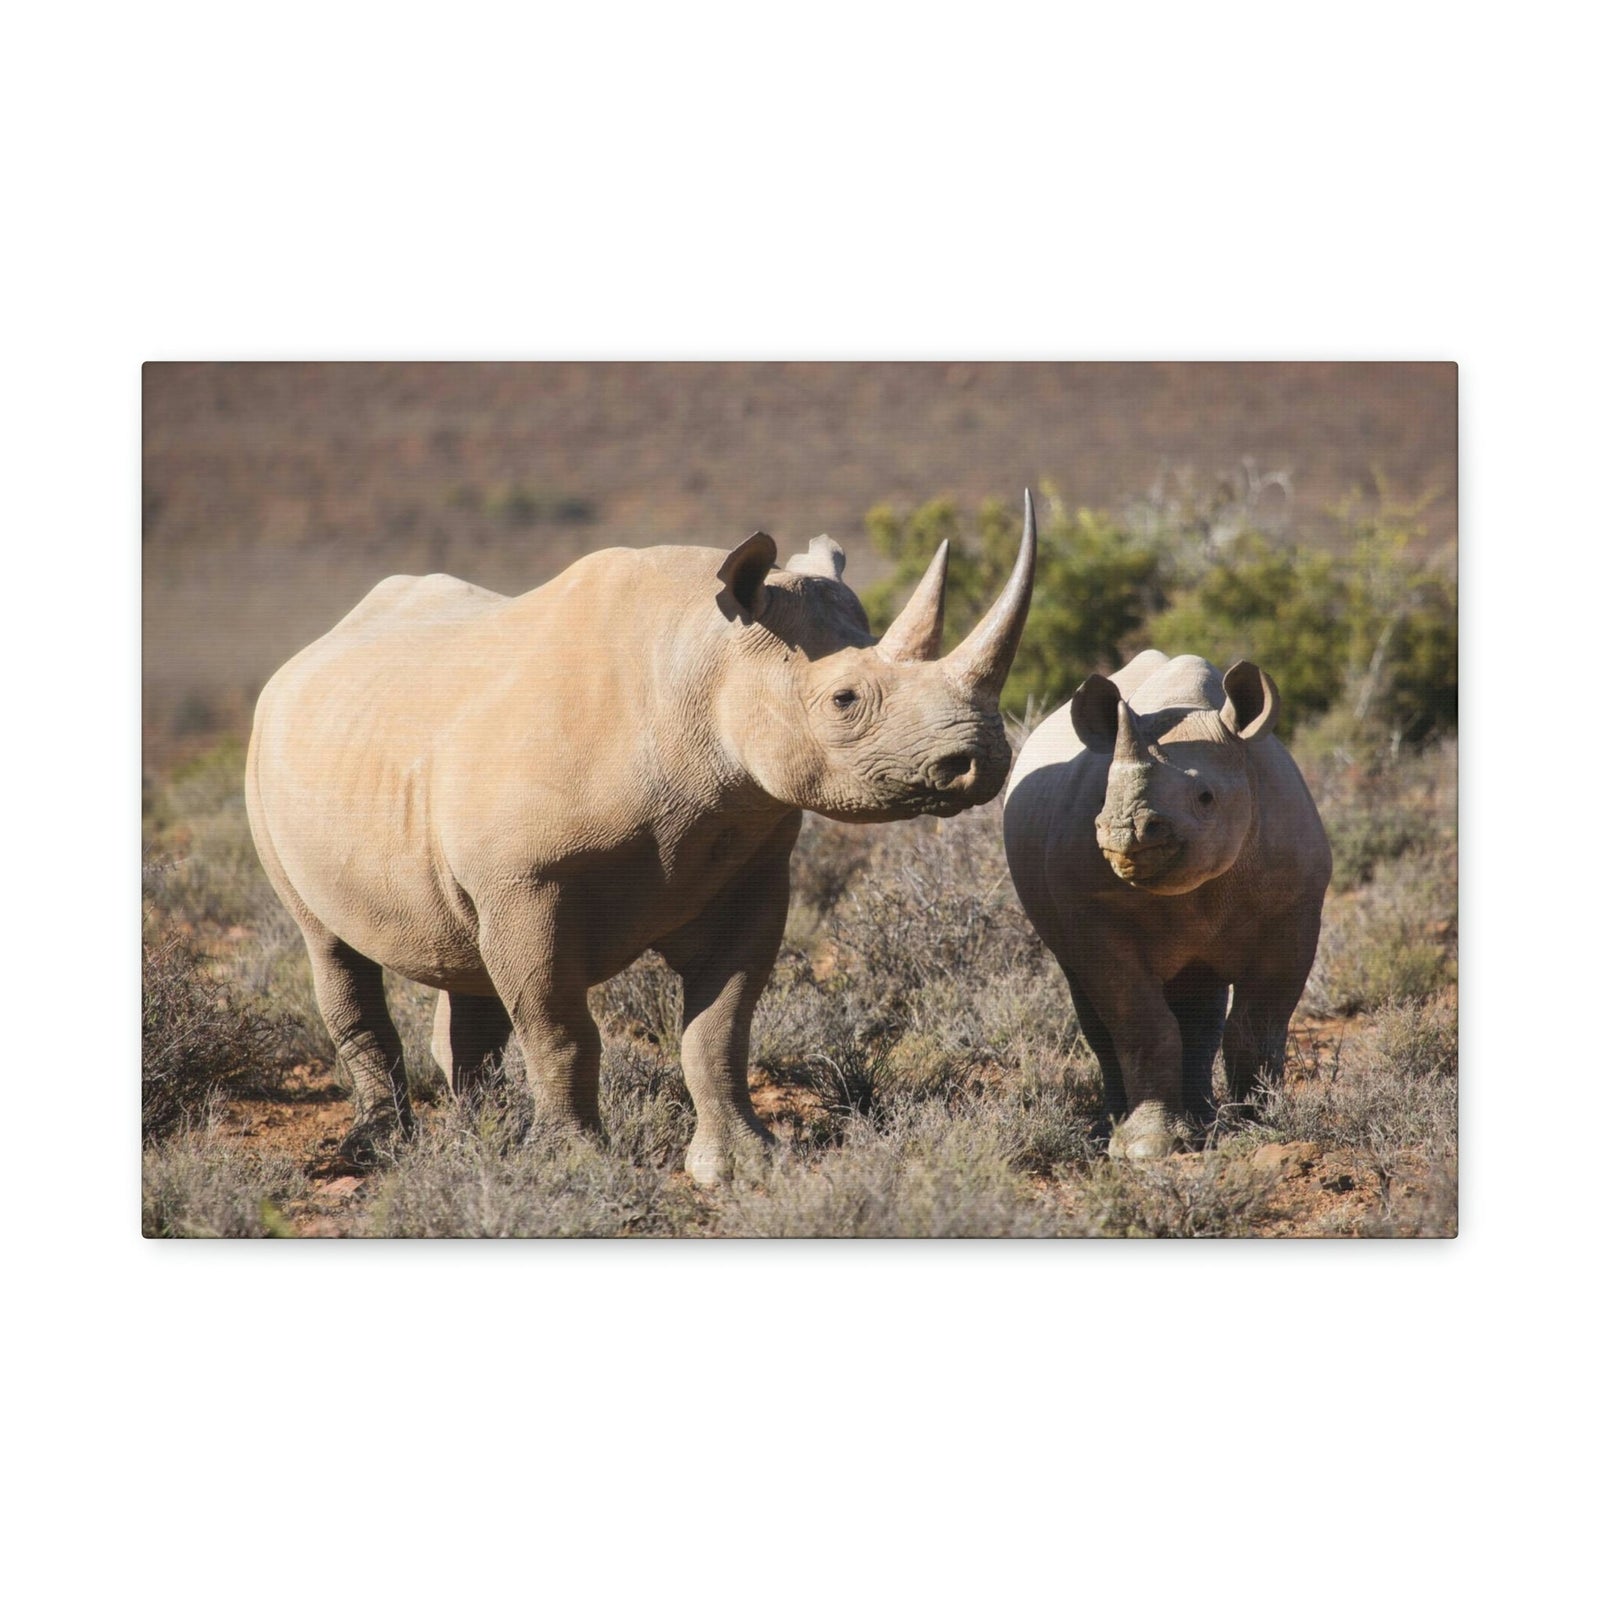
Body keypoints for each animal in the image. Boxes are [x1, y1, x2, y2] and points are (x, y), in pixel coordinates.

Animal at [246, 493, 1036, 1183]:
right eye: (844, 701)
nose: (983, 759)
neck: (706, 665)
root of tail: (309, 652)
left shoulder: (750, 866)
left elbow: (720, 1026)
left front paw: (742, 1165)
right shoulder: (527, 883)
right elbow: (560, 1029)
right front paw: (571, 1165)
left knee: (463, 959)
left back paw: (483, 1136)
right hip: (269, 758)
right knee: (329, 945)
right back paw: (382, 1148)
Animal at [1002, 649, 1331, 1159]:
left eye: (1205, 797)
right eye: (1104, 796)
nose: (1124, 830)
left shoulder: (1293, 911)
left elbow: (1258, 1024)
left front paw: (1260, 1127)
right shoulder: (1093, 918)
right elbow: (1141, 1023)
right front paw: (1146, 1148)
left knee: (1200, 1002)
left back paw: (1204, 1125)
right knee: (1095, 1004)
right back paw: (1116, 1131)